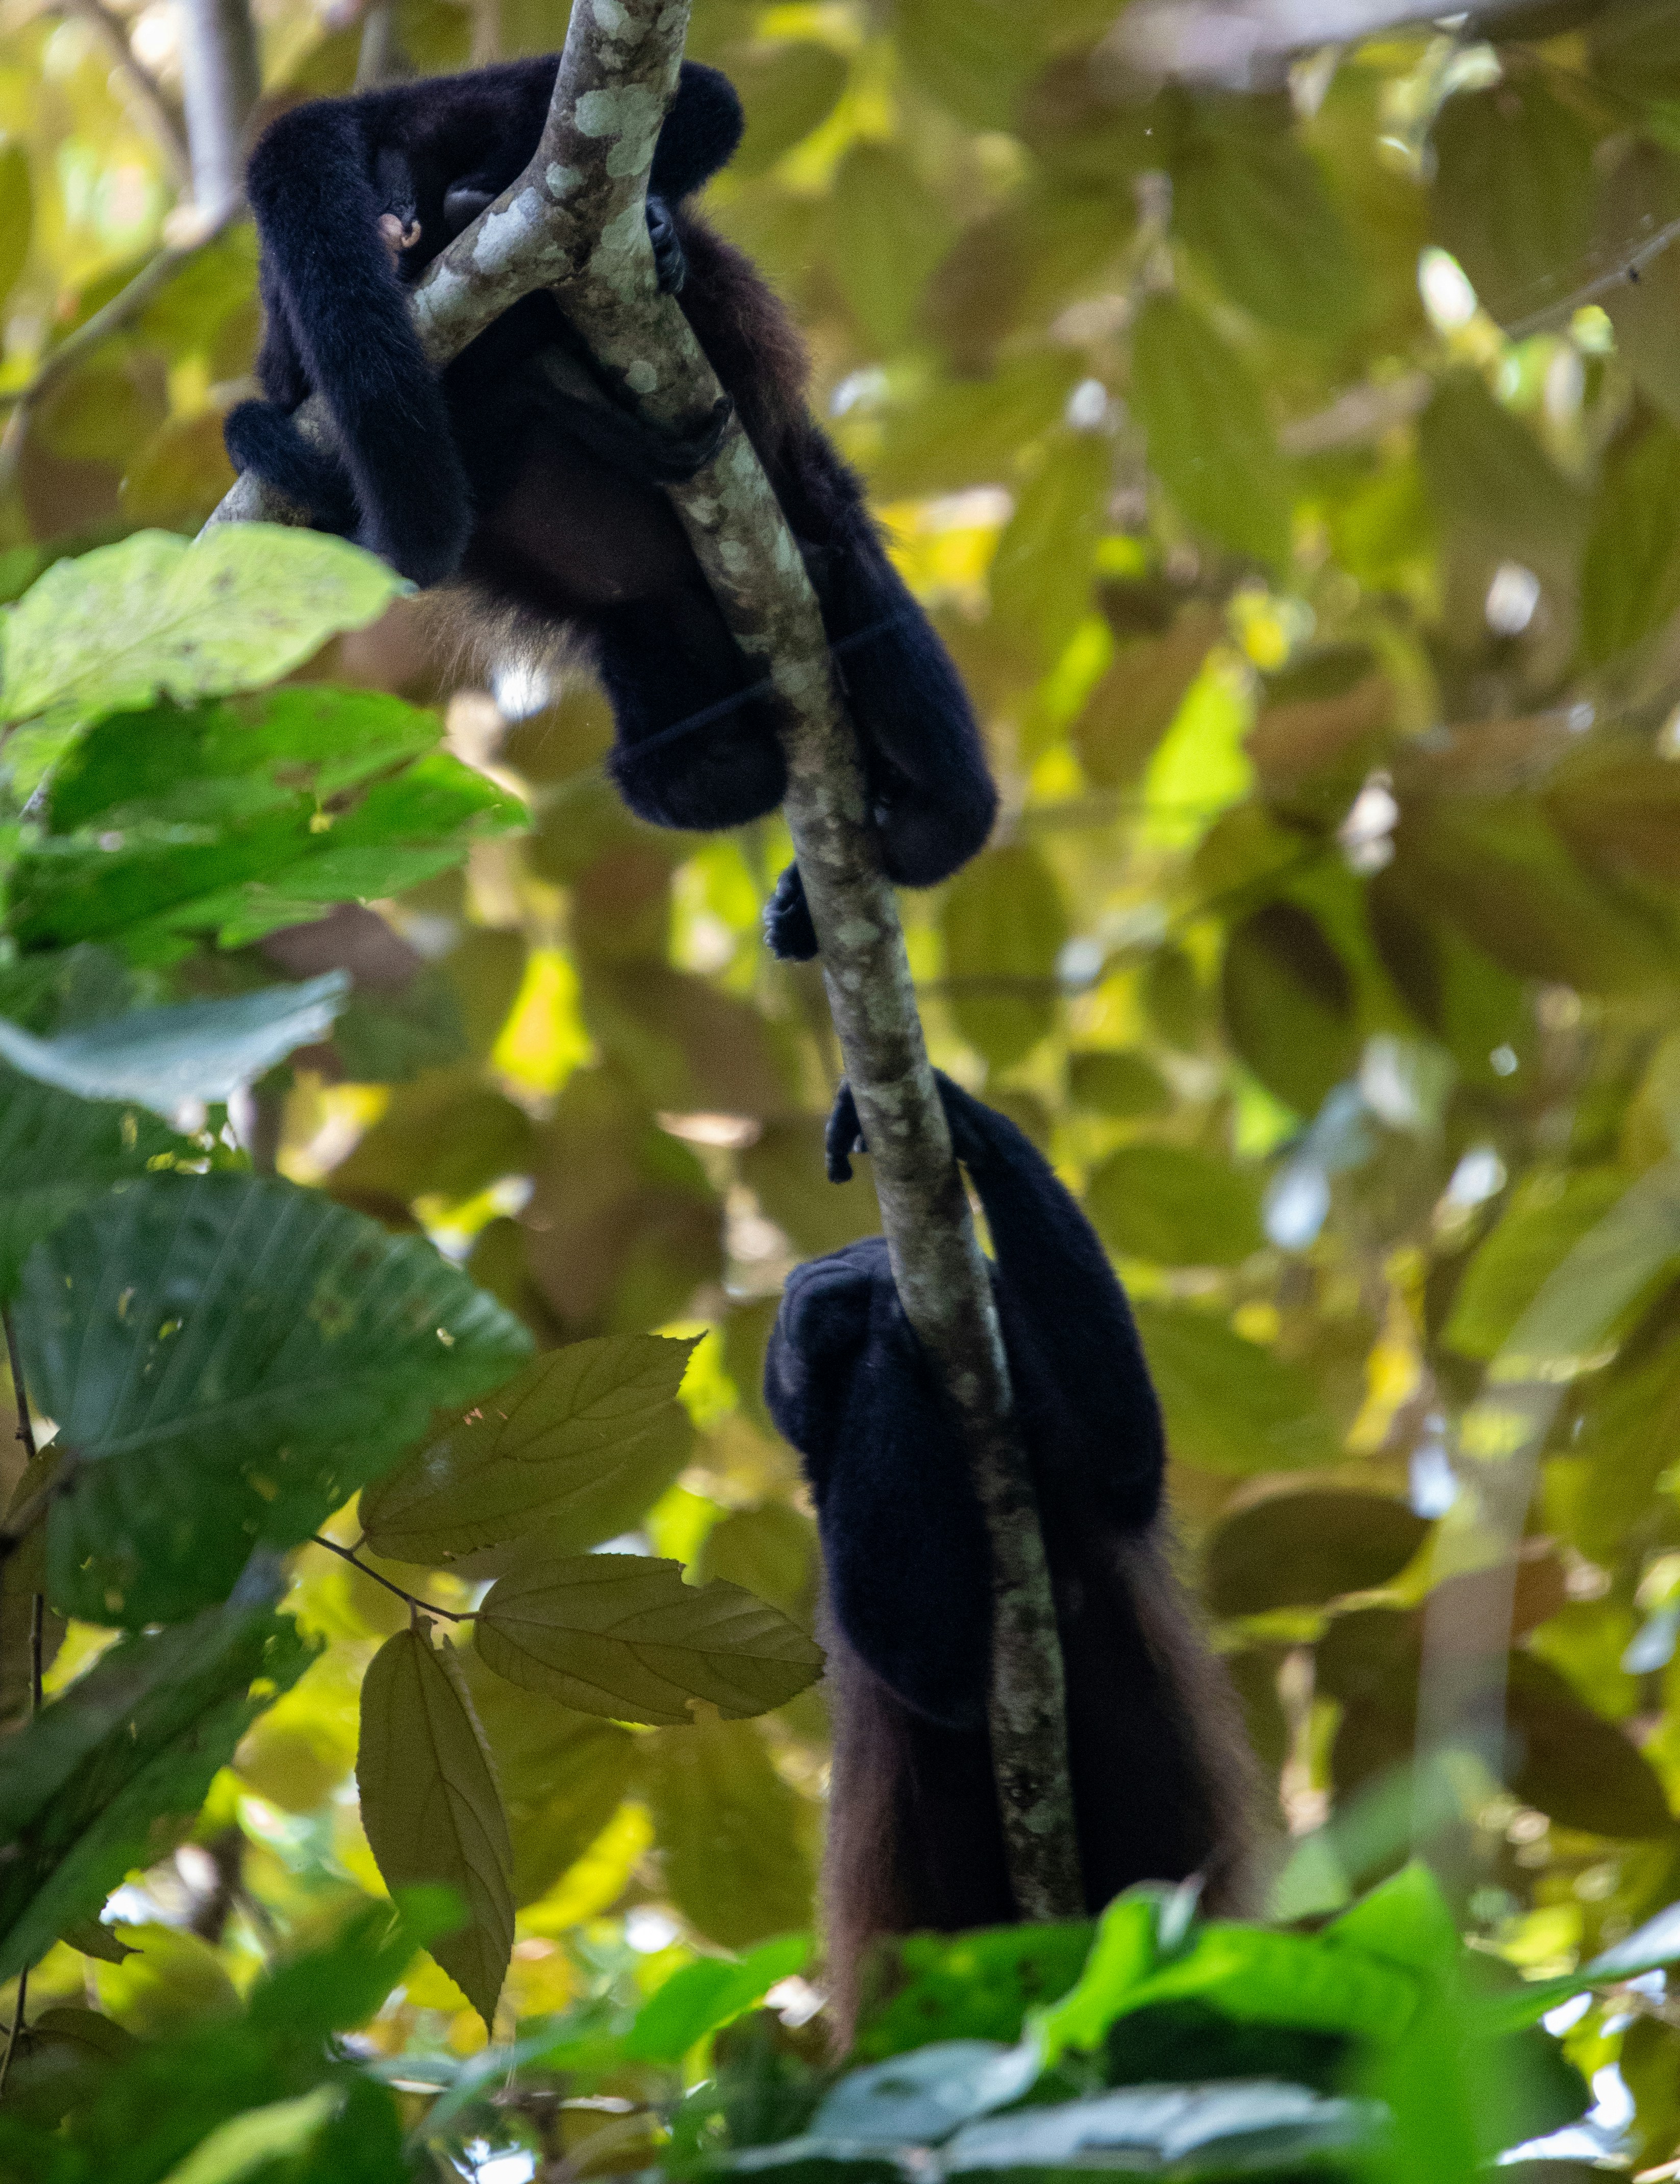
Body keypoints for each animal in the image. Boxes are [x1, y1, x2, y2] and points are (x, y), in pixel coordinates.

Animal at [763, 1074, 1261, 2036]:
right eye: (819, 1372)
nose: (824, 1314)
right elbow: (933, 1665)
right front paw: (868, 1314)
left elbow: (1123, 1456)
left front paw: (969, 1126)